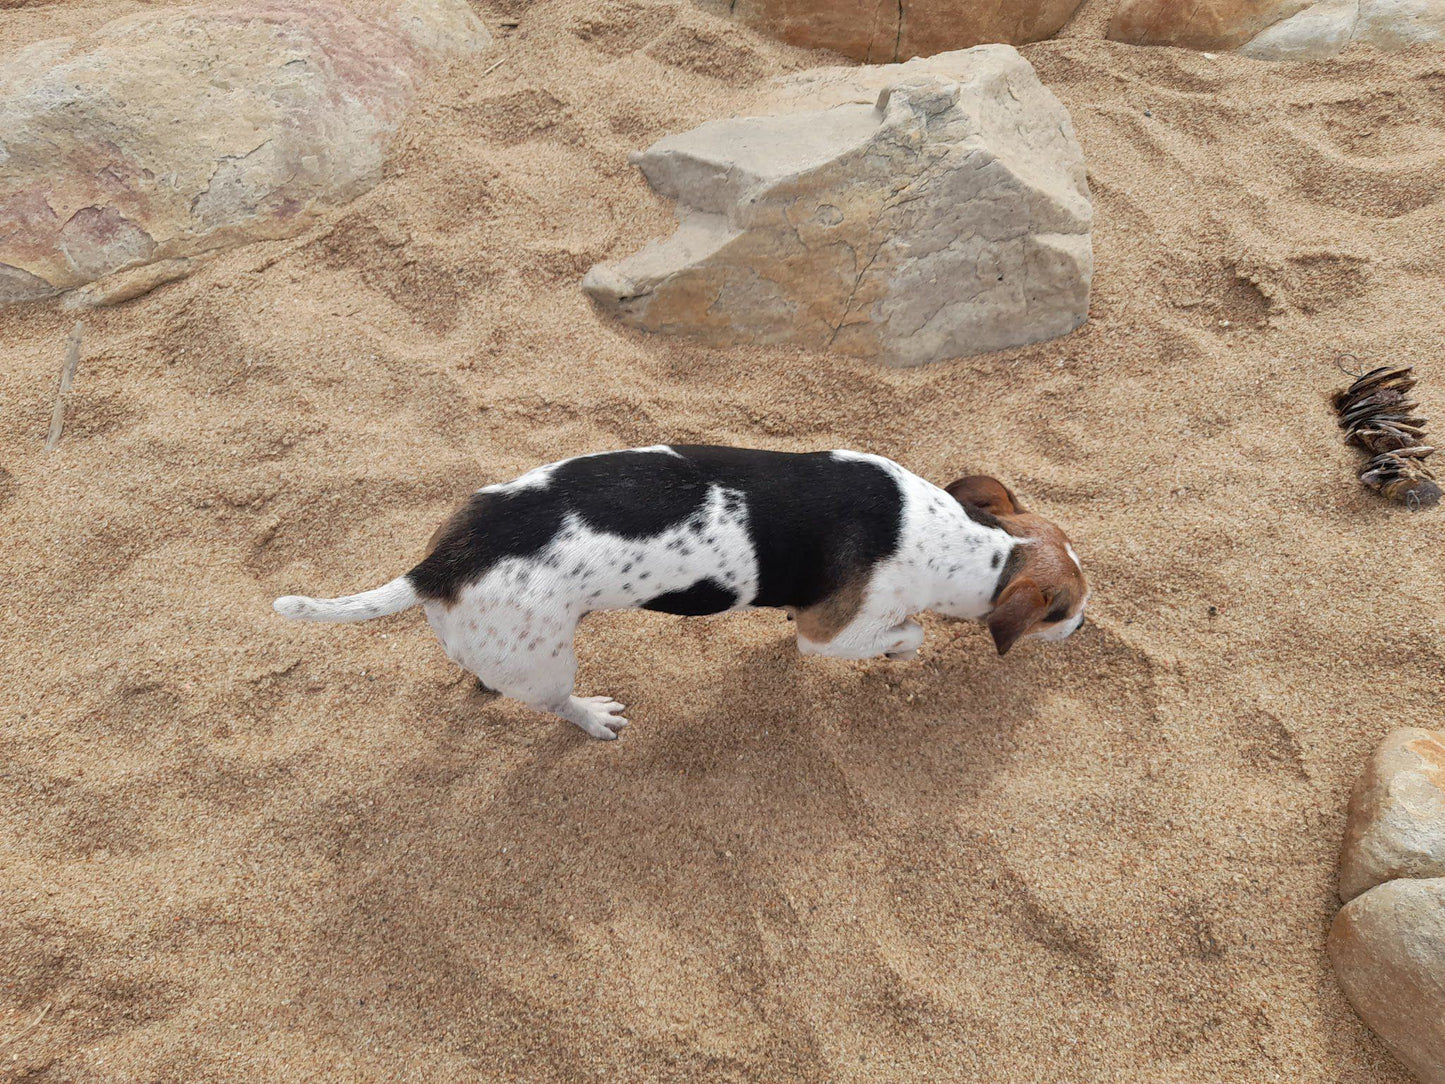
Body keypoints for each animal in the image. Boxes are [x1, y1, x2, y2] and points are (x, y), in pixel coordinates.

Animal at [271, 445, 1086, 745]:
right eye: (1064, 612)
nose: (1083, 631)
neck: (973, 545)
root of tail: (439, 561)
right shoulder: (831, 635)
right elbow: (905, 633)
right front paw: (904, 651)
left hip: (497, 640)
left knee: (481, 675)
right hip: (549, 664)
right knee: (558, 704)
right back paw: (593, 718)